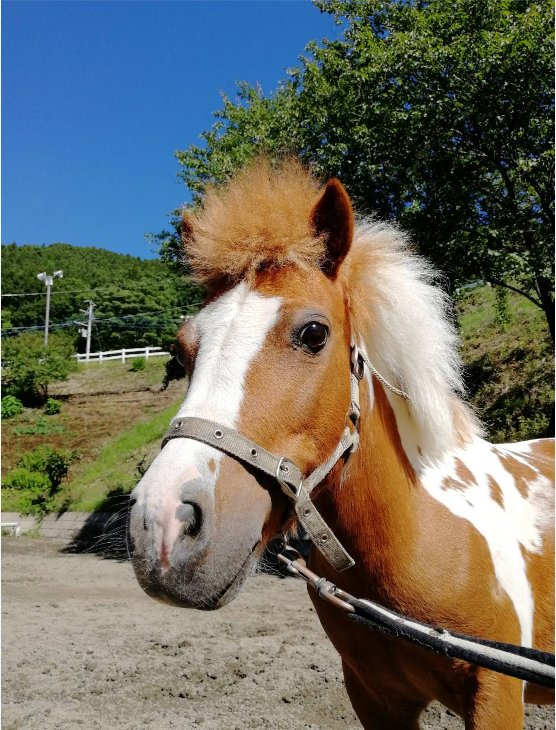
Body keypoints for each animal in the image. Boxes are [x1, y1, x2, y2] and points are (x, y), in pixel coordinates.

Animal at [128, 158, 554, 729]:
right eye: (182, 348)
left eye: (313, 334)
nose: (163, 526)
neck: (414, 539)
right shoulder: (374, 697)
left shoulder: (497, 696)